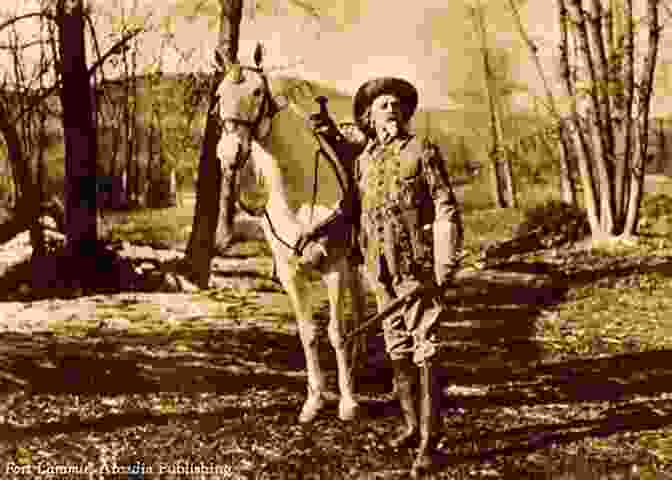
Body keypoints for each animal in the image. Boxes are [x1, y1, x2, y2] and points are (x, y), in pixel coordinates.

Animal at [214, 49, 364, 424]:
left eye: (257, 92)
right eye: (219, 94)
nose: (229, 153)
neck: (297, 193)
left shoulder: (334, 267)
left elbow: (336, 332)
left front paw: (347, 402)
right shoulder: (290, 275)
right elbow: (308, 334)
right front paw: (314, 401)